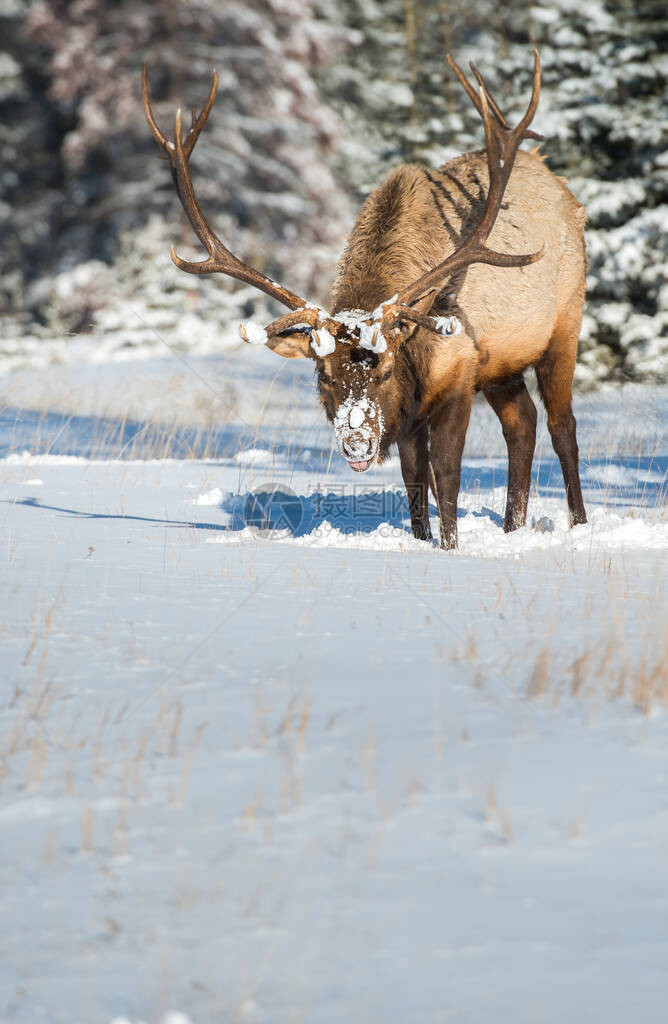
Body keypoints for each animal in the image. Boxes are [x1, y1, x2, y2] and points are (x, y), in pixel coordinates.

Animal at [141, 54, 586, 552]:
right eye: (323, 375)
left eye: (386, 369)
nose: (356, 444)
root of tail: (557, 183)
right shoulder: (417, 407)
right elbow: (415, 480)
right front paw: (422, 539)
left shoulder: (457, 375)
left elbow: (446, 476)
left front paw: (450, 547)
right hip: (502, 366)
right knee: (522, 423)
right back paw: (513, 528)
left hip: (565, 323)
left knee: (562, 425)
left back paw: (578, 524)